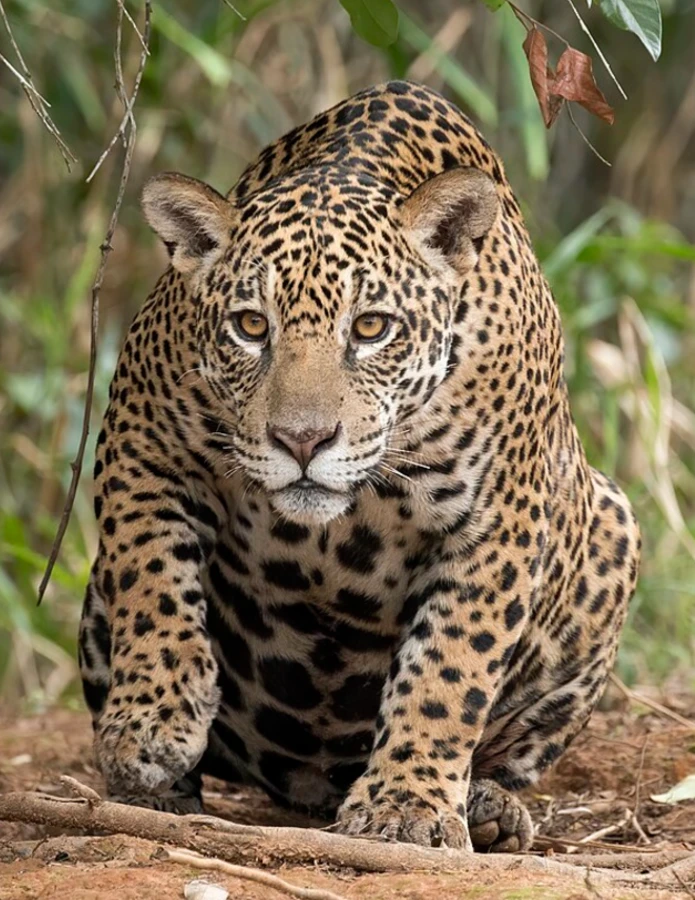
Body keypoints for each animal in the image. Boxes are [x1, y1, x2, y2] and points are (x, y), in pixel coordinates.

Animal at [78, 80, 640, 853]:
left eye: (371, 327)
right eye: (250, 326)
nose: (302, 440)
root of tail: (308, 786)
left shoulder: (498, 521)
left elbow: (449, 665)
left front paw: (406, 804)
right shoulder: (141, 435)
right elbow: (151, 576)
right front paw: (151, 723)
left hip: (612, 529)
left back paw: (487, 808)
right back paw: (156, 794)